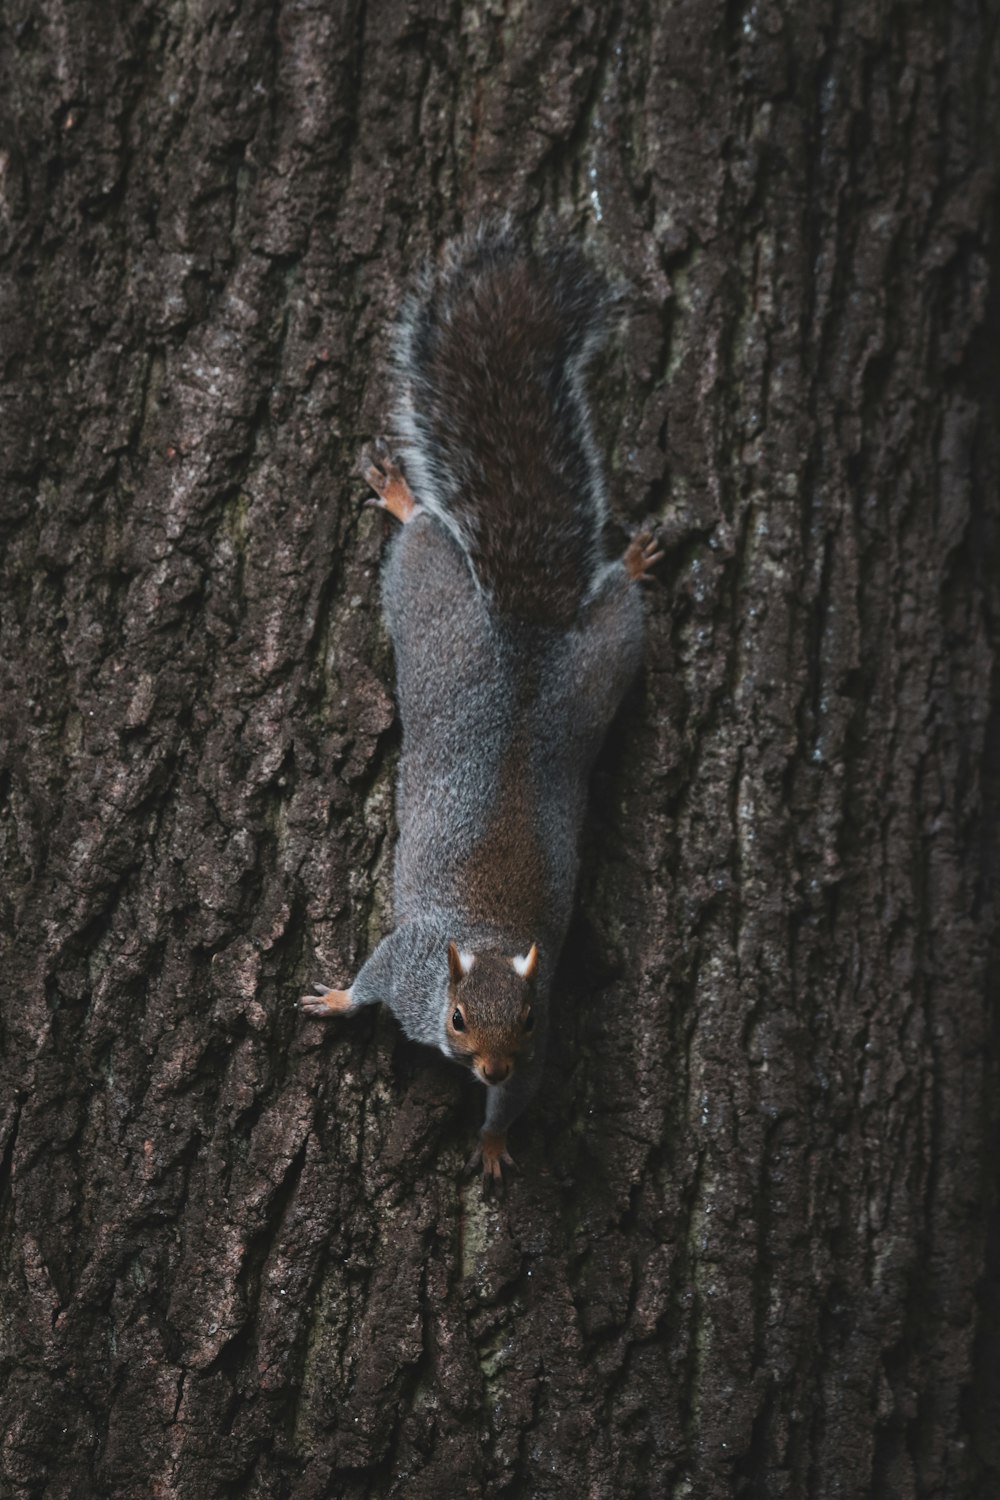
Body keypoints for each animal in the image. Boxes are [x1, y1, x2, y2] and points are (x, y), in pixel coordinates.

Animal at [301, 219, 659, 1182]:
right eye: (457, 1018)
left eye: (527, 1021)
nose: (489, 1064)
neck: (488, 943)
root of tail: (526, 631)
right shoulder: (408, 962)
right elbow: (370, 982)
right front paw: (336, 1001)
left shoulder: (539, 1050)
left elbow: (520, 1102)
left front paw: (495, 1140)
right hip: (431, 603)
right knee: (425, 533)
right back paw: (400, 496)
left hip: (602, 661)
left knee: (613, 605)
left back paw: (631, 560)